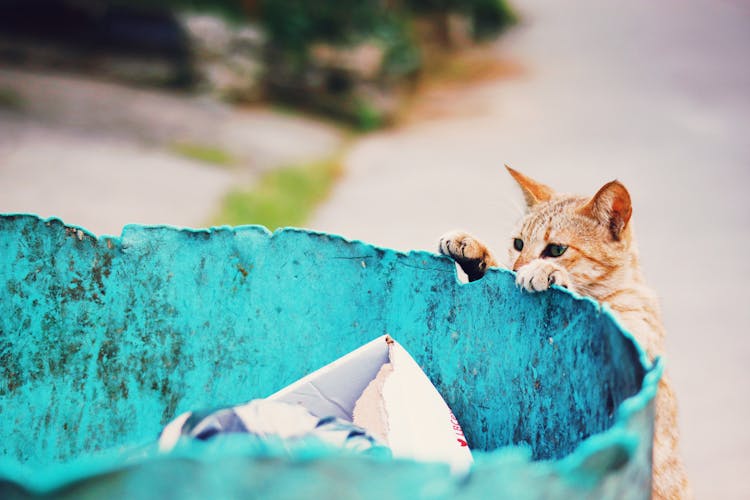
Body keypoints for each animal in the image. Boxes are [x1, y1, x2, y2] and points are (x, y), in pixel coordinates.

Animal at [440, 167, 692, 500]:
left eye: (556, 250)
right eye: (518, 243)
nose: (520, 266)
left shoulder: (634, 347)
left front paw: (548, 272)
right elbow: (497, 275)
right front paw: (474, 251)